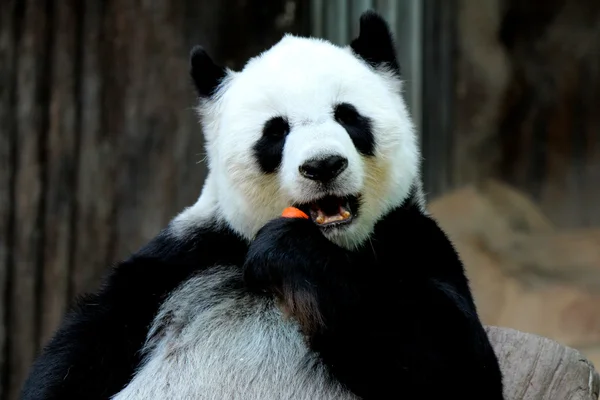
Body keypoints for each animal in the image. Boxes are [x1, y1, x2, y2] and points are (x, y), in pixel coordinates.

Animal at [21, 9, 504, 400]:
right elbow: (86, 341)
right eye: (276, 132)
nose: (323, 165)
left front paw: (290, 250)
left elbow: (454, 362)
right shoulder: (188, 256)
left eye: (348, 116)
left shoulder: (409, 238)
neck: (338, 243)